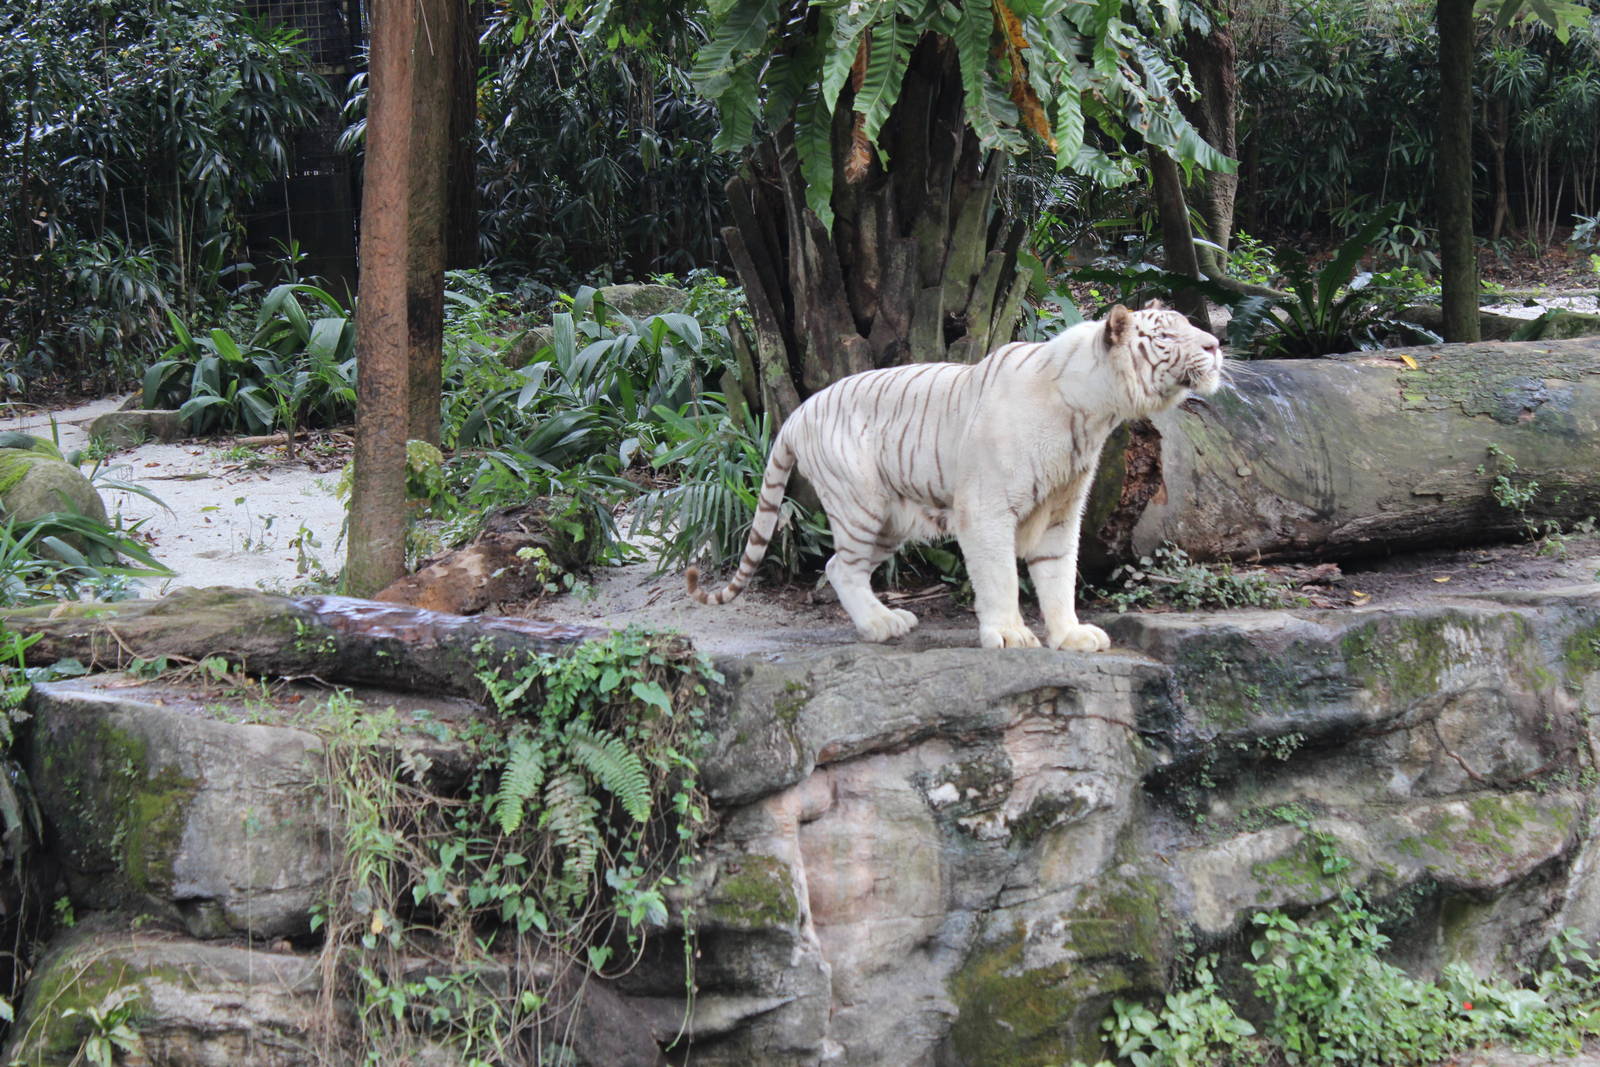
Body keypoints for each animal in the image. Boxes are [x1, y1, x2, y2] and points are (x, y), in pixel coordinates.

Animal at [686, 302, 1225, 651]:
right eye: (1165, 337)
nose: (1217, 343)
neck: (1093, 414)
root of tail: (798, 411)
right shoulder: (986, 509)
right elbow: (1001, 576)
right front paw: (1009, 634)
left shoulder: (1059, 512)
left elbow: (1057, 576)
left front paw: (1071, 635)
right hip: (862, 505)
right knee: (841, 568)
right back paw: (879, 626)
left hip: (891, 521)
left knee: (842, 566)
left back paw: (888, 619)